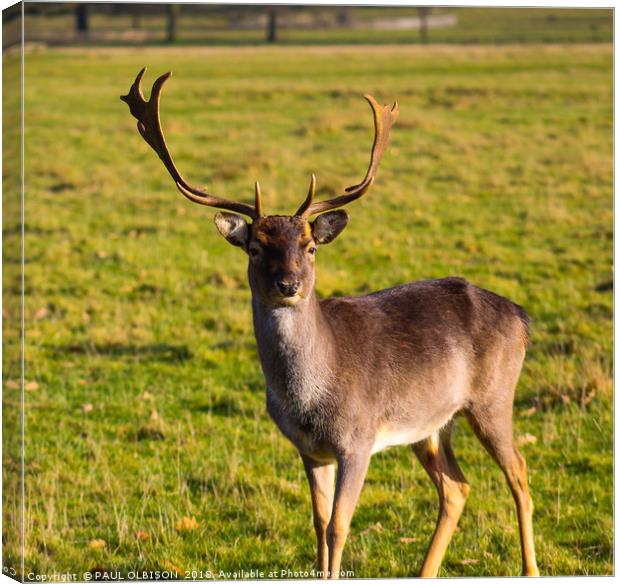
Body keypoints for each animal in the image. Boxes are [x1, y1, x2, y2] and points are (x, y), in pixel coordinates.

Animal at [123, 69, 540, 580]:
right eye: (255, 248)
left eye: (310, 246)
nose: (288, 283)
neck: (309, 397)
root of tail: (521, 316)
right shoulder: (307, 448)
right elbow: (319, 524)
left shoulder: (358, 439)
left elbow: (340, 527)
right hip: (431, 424)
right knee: (457, 487)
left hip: (493, 398)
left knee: (519, 474)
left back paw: (530, 568)